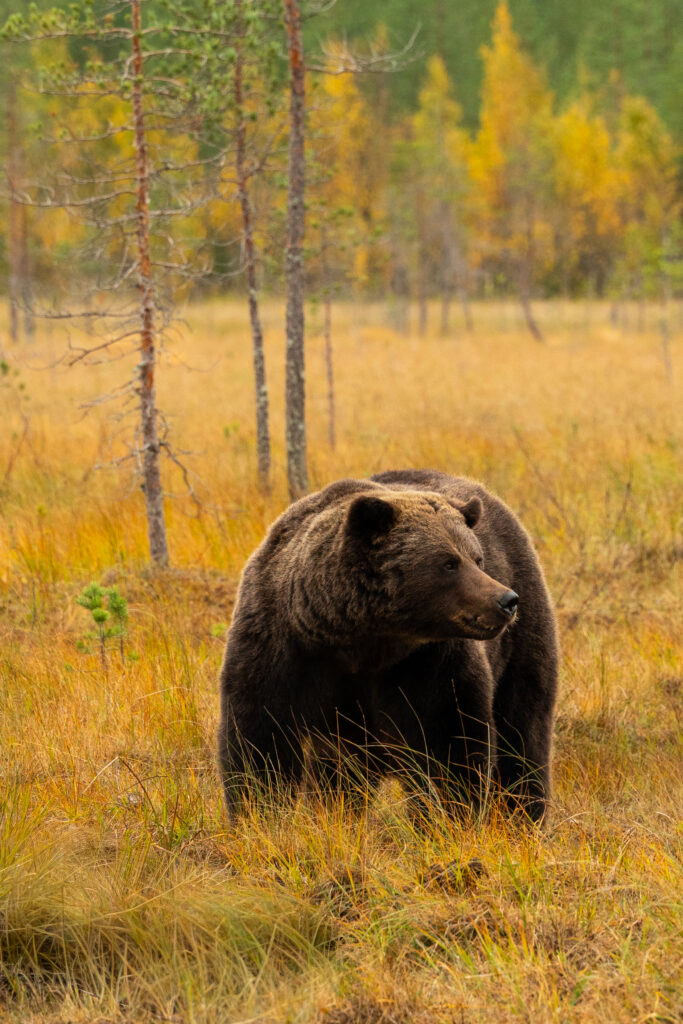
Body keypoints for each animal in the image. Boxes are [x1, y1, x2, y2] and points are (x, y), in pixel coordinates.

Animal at [218, 469, 559, 824]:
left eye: (477, 559)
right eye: (449, 563)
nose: (505, 600)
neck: (362, 640)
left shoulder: (427, 663)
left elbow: (450, 743)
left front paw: (446, 818)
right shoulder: (283, 648)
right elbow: (260, 742)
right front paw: (258, 815)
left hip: (523, 637)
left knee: (523, 728)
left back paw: (523, 814)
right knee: (338, 772)